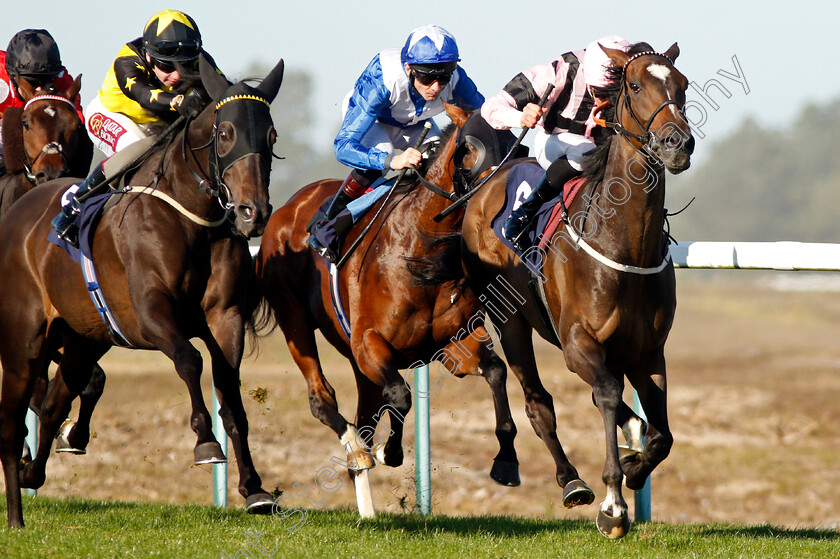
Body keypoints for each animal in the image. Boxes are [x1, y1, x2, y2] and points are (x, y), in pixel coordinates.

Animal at [0, 54, 286, 528]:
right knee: (21, 413)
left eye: (271, 136)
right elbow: (189, 361)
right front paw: (205, 443)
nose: (253, 213)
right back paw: (18, 502)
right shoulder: (150, 314)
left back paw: (33, 470)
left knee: (57, 401)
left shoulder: (225, 317)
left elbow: (230, 392)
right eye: (225, 132)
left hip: (83, 338)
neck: (193, 217)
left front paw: (255, 489)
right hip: (26, 339)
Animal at [254, 104, 520, 516]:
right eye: (470, 148)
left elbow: (495, 371)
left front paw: (506, 462)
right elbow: (400, 396)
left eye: (515, 146)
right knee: (322, 398)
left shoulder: (456, 345)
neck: (420, 253)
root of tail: (287, 208)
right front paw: (389, 451)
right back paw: (356, 451)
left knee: (365, 411)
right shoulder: (369, 343)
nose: (498, 200)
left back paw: (366, 502)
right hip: (295, 320)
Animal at [456, 41, 692, 540]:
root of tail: (488, 178)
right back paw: (568, 480)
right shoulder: (579, 343)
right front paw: (614, 506)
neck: (625, 243)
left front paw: (635, 464)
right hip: (511, 321)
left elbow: (662, 436)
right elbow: (605, 395)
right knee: (537, 402)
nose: (677, 144)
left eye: (683, 85)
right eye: (635, 84)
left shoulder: (649, 352)